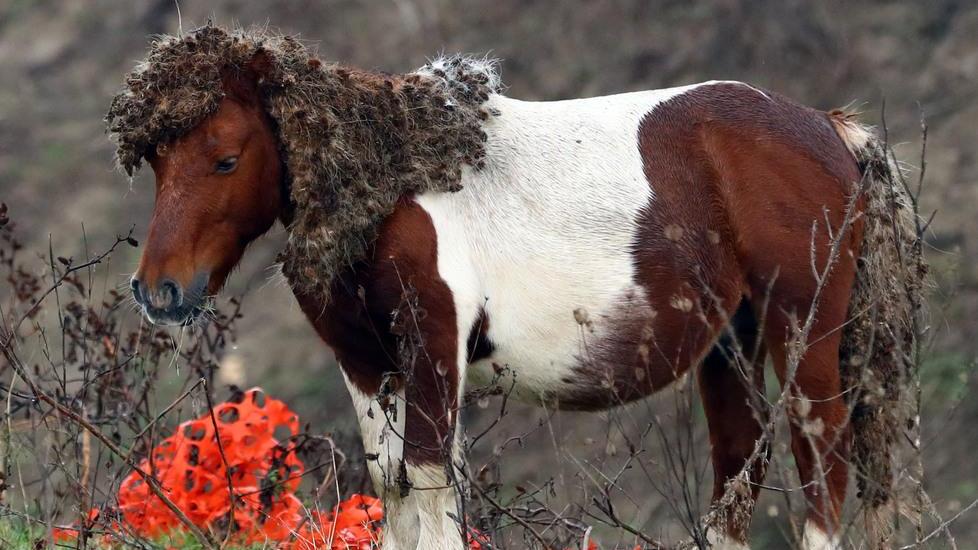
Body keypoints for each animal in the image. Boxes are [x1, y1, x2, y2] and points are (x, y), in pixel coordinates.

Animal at [114, 27, 921, 550]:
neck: (387, 184)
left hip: (802, 337)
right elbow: (392, 491)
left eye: (224, 158)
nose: (160, 290)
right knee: (737, 473)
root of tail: (828, 129)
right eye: (155, 159)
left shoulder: (434, 350)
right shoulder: (369, 365)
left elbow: (428, 487)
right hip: (732, 342)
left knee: (821, 472)